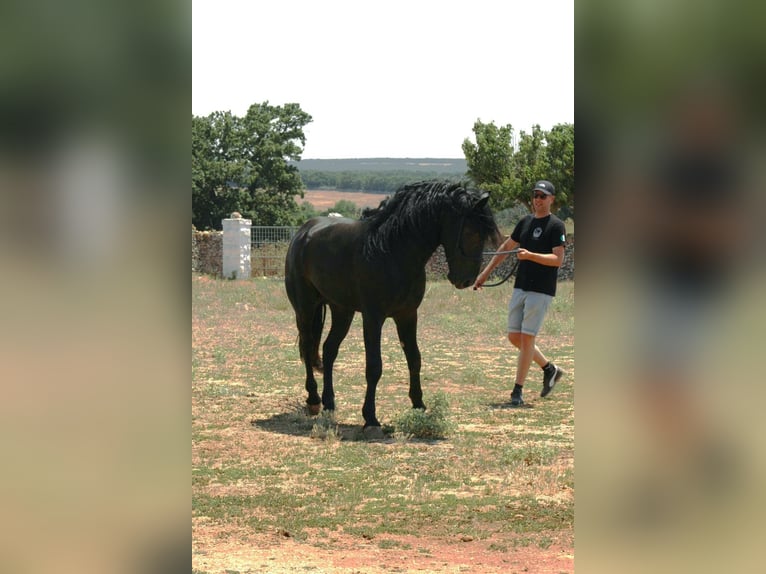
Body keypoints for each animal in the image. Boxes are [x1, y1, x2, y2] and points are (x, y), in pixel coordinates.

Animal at [284, 179, 501, 430]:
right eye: (471, 231)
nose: (465, 280)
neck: (392, 250)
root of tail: (303, 233)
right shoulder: (373, 317)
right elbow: (374, 367)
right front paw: (370, 418)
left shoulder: (407, 315)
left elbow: (415, 359)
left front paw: (419, 405)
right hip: (306, 309)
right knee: (308, 346)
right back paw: (313, 400)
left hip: (342, 311)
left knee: (329, 350)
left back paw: (329, 403)